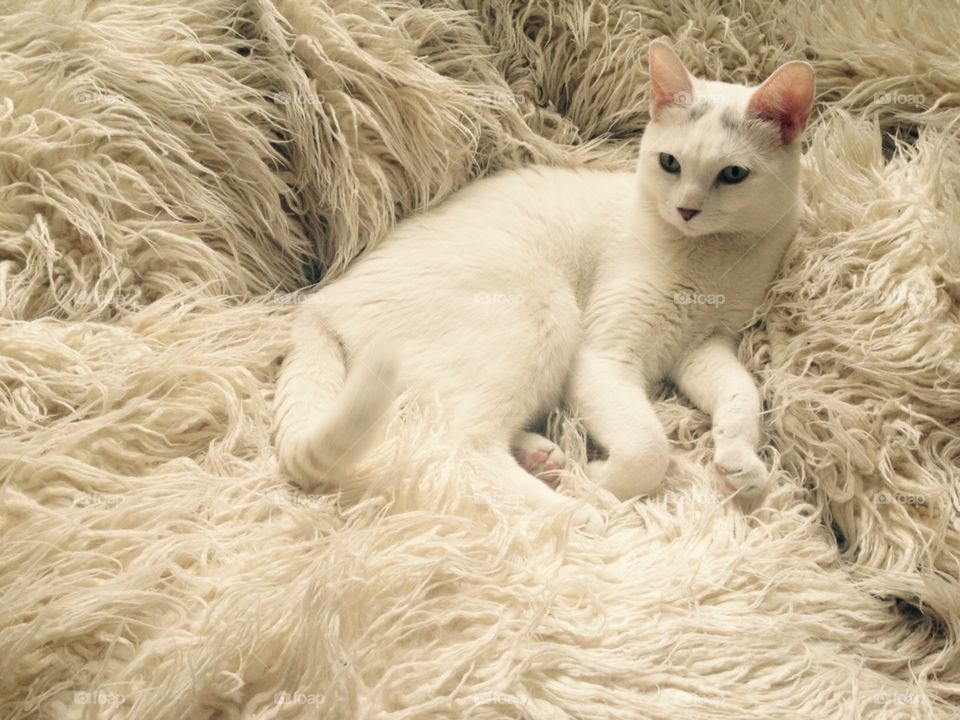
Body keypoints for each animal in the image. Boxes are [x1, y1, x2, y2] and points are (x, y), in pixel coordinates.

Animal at [274, 43, 812, 528]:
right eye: (670, 164)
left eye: (733, 174)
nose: (687, 209)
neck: (709, 259)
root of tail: (322, 302)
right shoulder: (604, 356)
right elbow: (649, 447)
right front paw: (598, 478)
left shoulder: (704, 345)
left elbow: (743, 394)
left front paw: (741, 463)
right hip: (541, 311)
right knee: (459, 446)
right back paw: (572, 511)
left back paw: (542, 457)